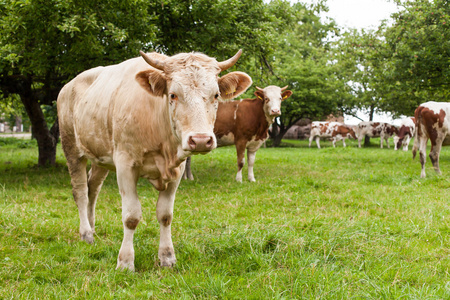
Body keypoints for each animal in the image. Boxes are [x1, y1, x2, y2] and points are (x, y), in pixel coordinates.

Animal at [56, 48, 251, 270]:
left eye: (216, 95)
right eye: (173, 94)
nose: (201, 140)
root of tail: (69, 85)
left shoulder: (178, 170)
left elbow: (165, 215)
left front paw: (167, 256)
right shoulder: (125, 165)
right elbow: (131, 216)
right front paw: (125, 261)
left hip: (101, 156)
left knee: (93, 188)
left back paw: (92, 226)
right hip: (71, 148)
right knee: (80, 191)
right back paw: (86, 233)